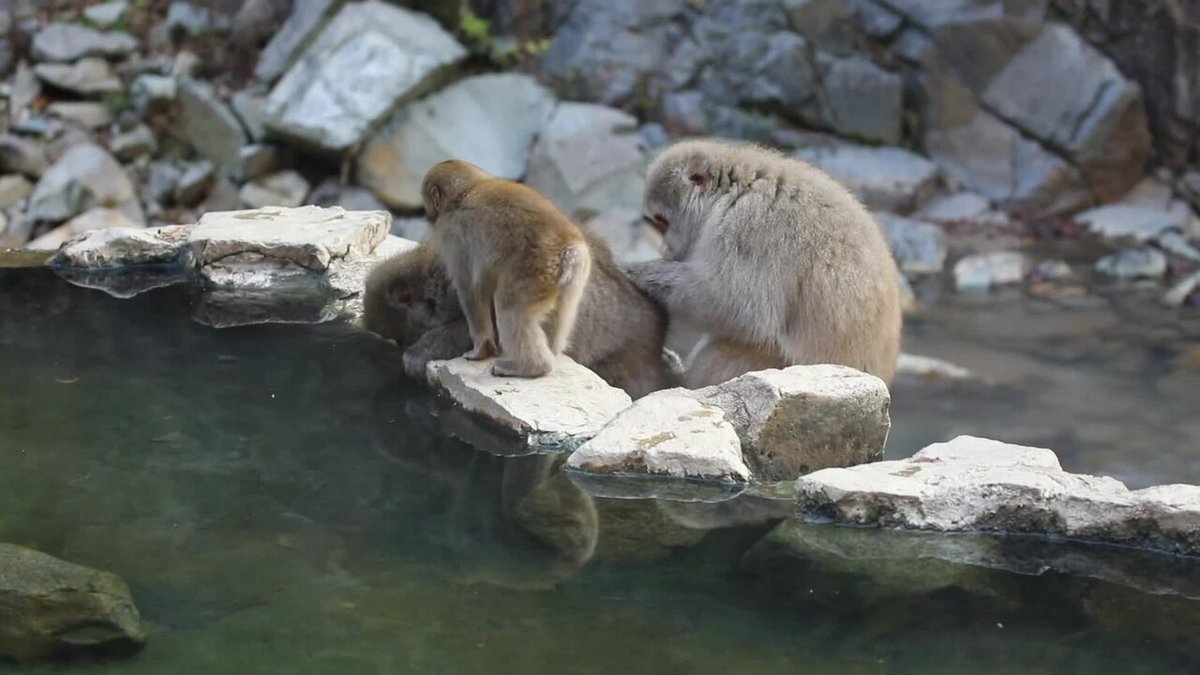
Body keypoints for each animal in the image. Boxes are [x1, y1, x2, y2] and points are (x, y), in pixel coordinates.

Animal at [421, 159, 592, 378]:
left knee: (508, 306)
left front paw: (480, 350)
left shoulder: (452, 234)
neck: (469, 189)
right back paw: (552, 351)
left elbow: (469, 289)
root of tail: (568, 248)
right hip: (573, 281)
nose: (429, 216)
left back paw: (532, 367)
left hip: (533, 272)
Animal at [625, 139, 902, 389]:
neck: (734, 190)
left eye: (662, 221)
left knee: (728, 346)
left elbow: (741, 306)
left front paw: (643, 273)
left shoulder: (748, 224)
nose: (665, 248)